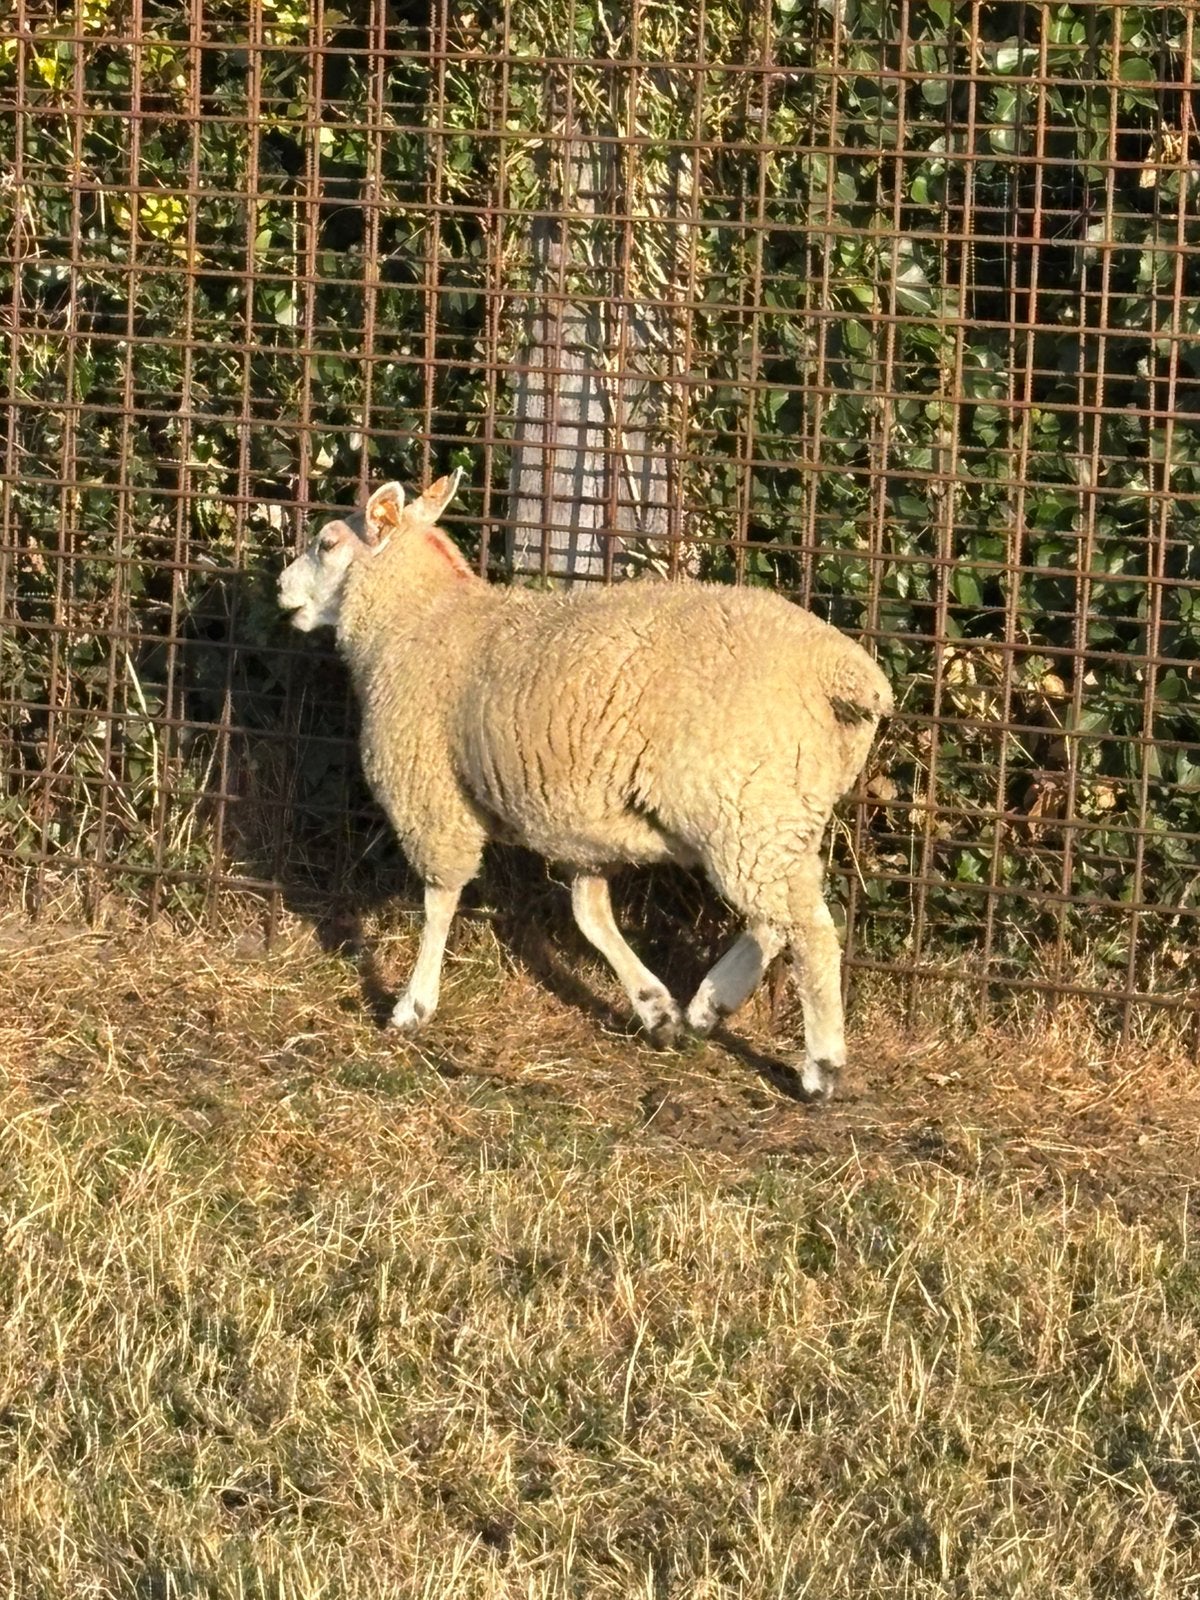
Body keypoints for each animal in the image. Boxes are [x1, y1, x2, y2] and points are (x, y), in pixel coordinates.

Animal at [277, 470, 893, 1101]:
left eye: (327, 544)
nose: (280, 589)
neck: (420, 622)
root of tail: (844, 673)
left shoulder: (431, 796)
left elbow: (440, 903)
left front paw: (412, 1006)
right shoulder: (579, 820)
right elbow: (590, 915)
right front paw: (655, 1009)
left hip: (743, 804)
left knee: (809, 927)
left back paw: (820, 1066)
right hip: (777, 806)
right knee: (783, 912)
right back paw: (710, 1004)